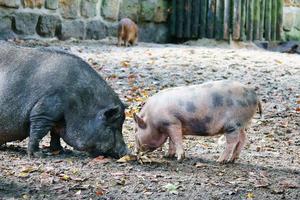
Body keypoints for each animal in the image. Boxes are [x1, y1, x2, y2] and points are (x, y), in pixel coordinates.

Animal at [134, 80, 262, 163]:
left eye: (136, 131)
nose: (135, 152)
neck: (152, 120)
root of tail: (255, 95)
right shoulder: (172, 125)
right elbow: (172, 141)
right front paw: (167, 156)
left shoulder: (172, 122)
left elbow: (176, 140)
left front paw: (180, 159)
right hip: (241, 124)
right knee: (243, 138)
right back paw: (232, 160)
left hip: (233, 125)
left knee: (233, 142)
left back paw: (220, 161)